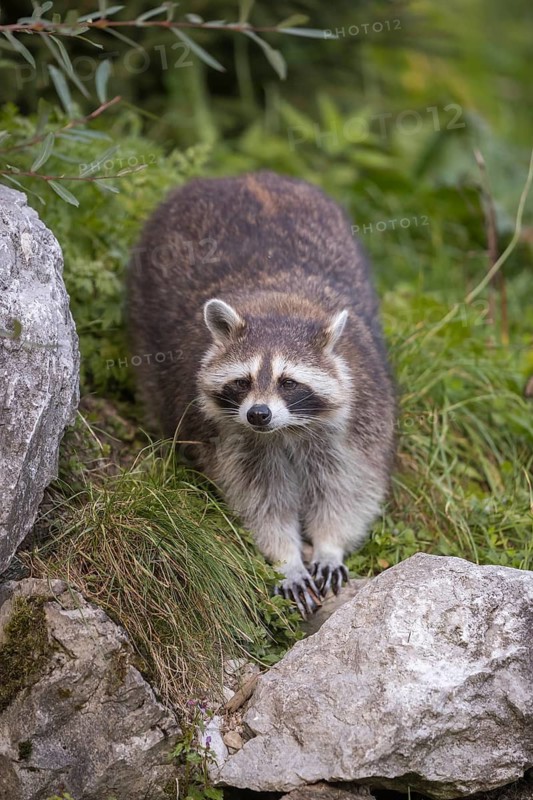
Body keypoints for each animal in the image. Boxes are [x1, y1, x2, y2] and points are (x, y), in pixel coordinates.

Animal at [127, 171, 395, 616]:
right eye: (243, 381)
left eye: (288, 382)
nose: (259, 415)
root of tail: (241, 176)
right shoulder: (232, 437)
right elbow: (259, 500)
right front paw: (287, 558)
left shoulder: (361, 417)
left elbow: (349, 487)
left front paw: (330, 545)